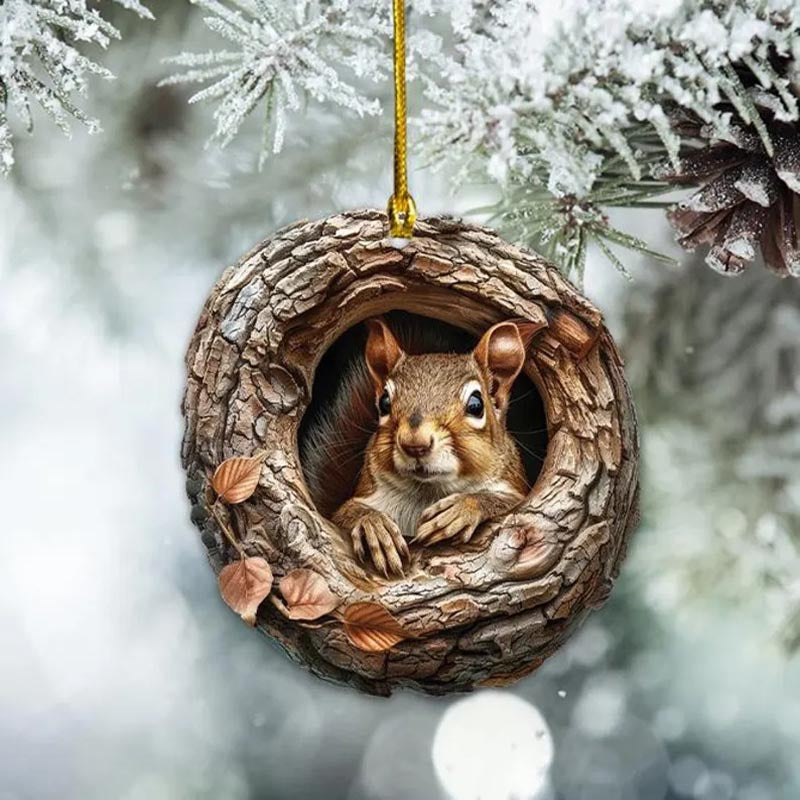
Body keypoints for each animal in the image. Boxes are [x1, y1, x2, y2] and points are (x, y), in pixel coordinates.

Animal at [303, 316, 530, 578]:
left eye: (476, 405)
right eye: (384, 402)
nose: (415, 444)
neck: (426, 491)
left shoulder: (516, 490)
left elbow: (507, 503)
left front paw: (460, 510)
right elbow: (344, 513)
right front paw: (374, 526)